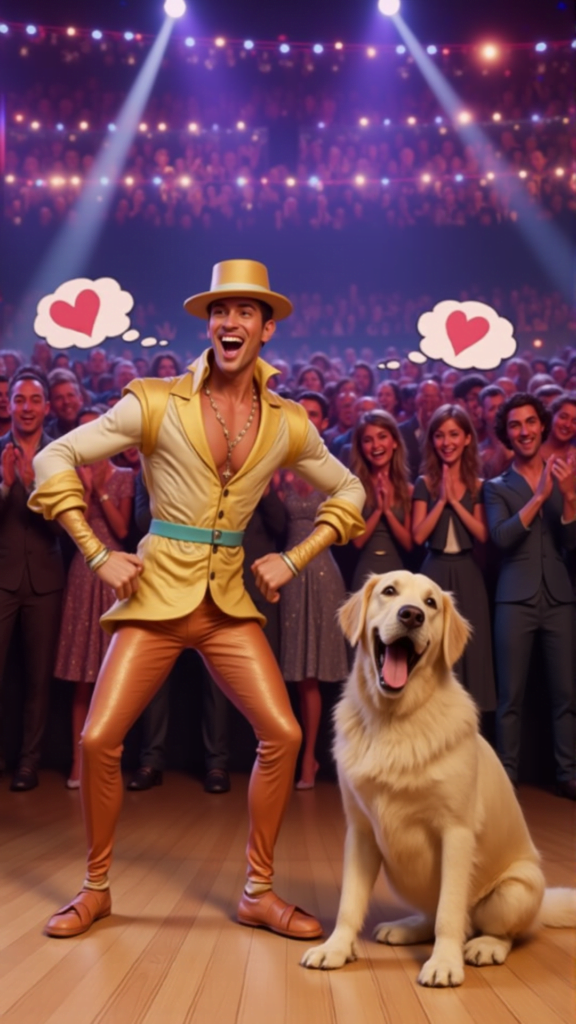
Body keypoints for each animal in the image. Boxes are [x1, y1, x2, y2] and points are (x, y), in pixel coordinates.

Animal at [297, 573, 569, 987]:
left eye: (431, 603)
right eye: (389, 591)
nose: (411, 615)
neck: (394, 721)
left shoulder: (455, 833)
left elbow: (449, 912)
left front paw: (444, 963)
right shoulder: (360, 831)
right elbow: (349, 903)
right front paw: (336, 948)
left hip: (516, 889)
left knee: (497, 930)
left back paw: (485, 946)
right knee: (433, 913)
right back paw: (405, 927)